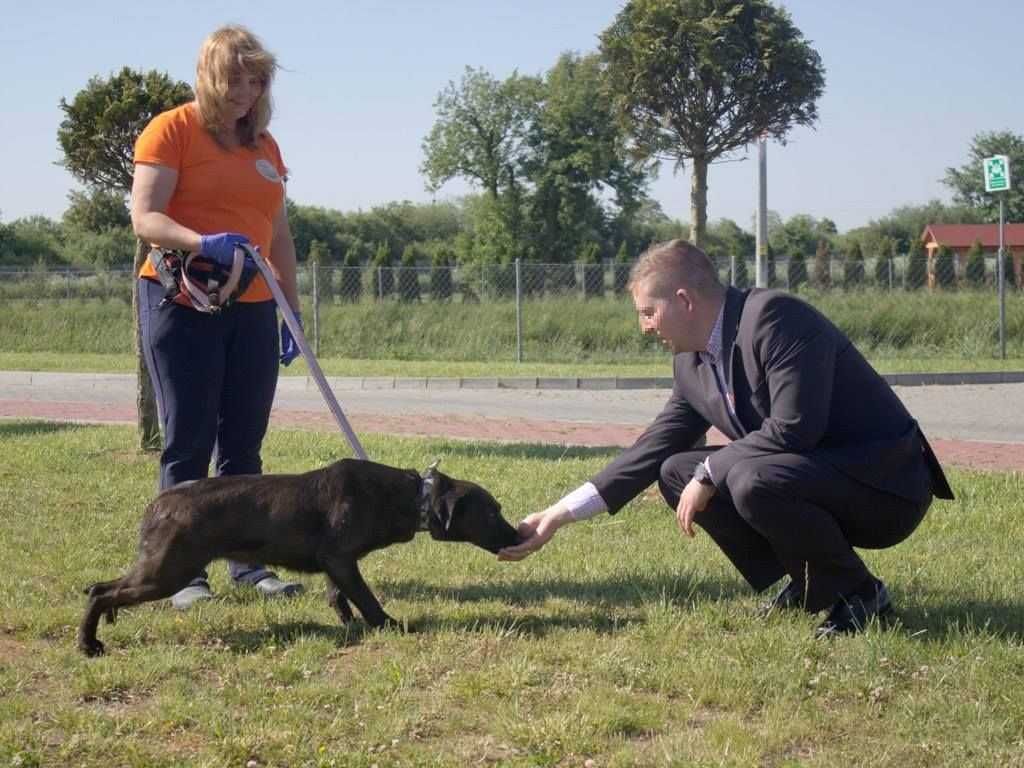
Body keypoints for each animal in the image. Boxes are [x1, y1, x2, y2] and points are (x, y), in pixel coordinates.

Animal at [77, 460, 520, 659]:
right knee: (101, 593)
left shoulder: (337, 562)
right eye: (493, 512)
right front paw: (390, 626)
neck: (412, 498)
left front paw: (348, 623)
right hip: (168, 572)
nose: (518, 535)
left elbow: (339, 596)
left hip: (159, 569)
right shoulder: (342, 559)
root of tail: (159, 504)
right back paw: (88, 644)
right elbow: (368, 600)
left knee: (100, 587)